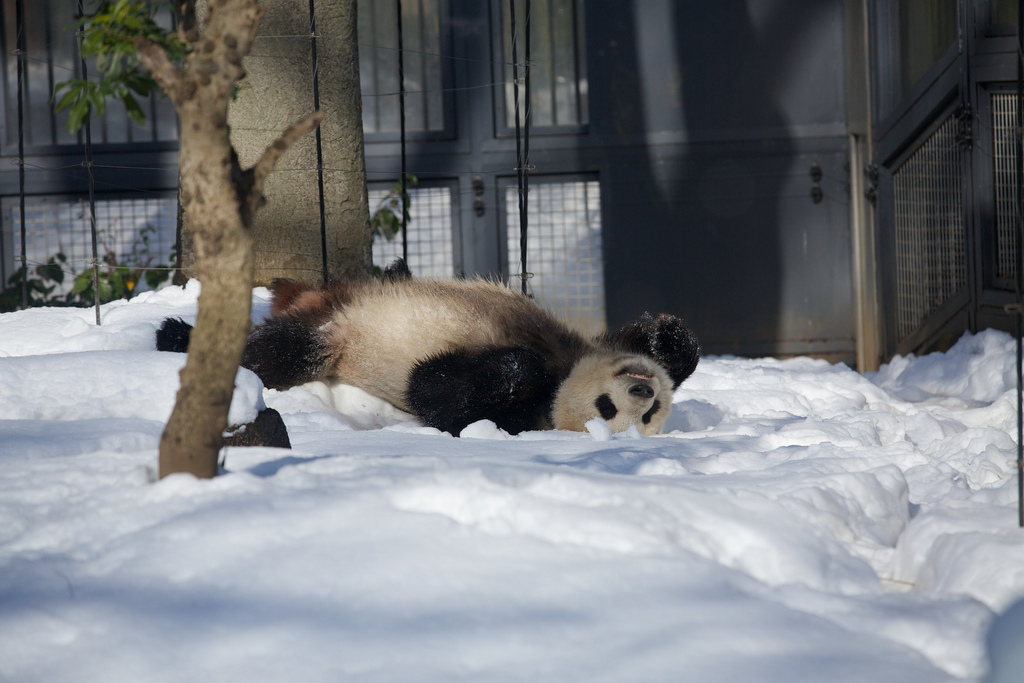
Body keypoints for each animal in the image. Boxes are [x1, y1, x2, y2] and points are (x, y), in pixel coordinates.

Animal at [157, 270, 704, 436]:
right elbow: (658, 346)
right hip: (338, 297)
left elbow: (433, 391)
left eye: (645, 416)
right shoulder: (579, 343)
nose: (642, 391)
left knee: (282, 350)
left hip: (334, 338)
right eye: (611, 405)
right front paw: (669, 335)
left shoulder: (516, 413)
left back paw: (175, 337)